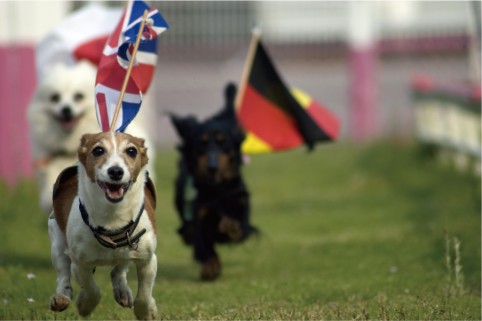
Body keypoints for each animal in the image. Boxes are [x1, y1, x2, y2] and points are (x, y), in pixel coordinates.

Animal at [171, 82, 258, 280]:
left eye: (223, 142)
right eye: (201, 144)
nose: (212, 167)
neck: (218, 189)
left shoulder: (242, 205)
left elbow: (240, 227)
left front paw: (230, 225)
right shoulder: (200, 214)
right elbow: (204, 245)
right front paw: (211, 268)